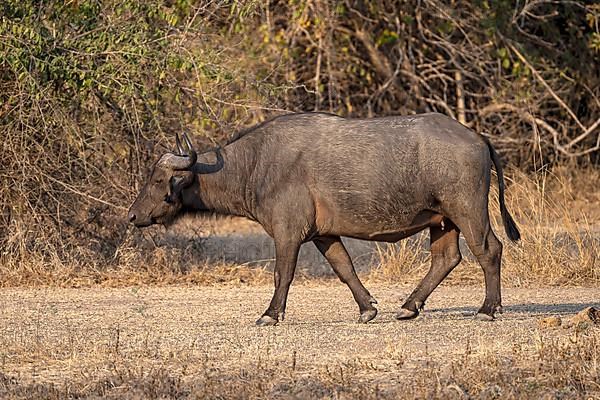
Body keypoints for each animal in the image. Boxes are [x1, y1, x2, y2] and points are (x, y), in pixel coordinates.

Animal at [129, 111, 516, 324]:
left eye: (158, 180)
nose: (132, 216)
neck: (255, 165)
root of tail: (476, 136)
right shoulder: (322, 235)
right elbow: (345, 269)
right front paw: (367, 309)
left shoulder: (287, 233)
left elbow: (282, 274)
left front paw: (270, 314)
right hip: (442, 221)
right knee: (446, 258)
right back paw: (408, 307)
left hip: (467, 211)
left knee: (489, 250)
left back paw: (488, 308)